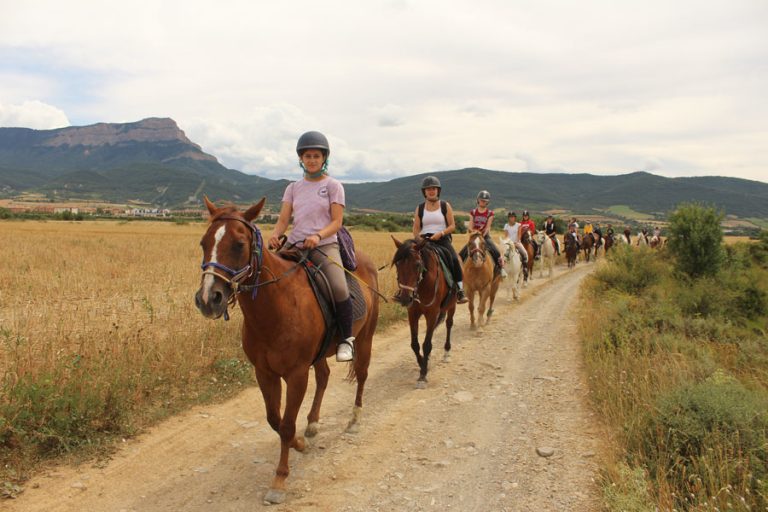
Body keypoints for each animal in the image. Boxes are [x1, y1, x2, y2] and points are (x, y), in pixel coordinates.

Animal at [194, 197, 380, 504]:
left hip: (366, 337)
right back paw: (313, 424)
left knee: (362, 374)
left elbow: (286, 424)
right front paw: (300, 443)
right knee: (324, 376)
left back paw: (354, 419)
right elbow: (275, 420)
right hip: (320, 354)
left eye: (239, 244)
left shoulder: (296, 374)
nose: (209, 299)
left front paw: (280, 480)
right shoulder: (264, 373)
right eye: (203, 242)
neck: (276, 305)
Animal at [390, 236, 456, 388]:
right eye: (397, 264)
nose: (405, 298)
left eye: (417, 264)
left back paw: (446, 353)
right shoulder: (412, 313)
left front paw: (423, 375)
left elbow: (426, 344)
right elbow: (415, 344)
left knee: (449, 324)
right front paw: (423, 365)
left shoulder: (432, 313)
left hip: (452, 305)